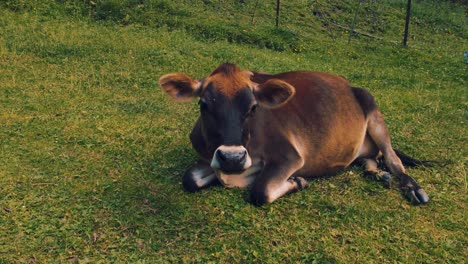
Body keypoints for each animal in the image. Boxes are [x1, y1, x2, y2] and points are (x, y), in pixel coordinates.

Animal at [159, 63, 430, 206]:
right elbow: (190, 179)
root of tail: (348, 84)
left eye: (253, 108)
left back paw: (412, 188)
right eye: (203, 104)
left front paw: (297, 181)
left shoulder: (289, 155)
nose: (232, 158)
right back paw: (376, 173)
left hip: (373, 108)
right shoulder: (207, 156)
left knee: (393, 159)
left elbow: (260, 191)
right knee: (370, 158)